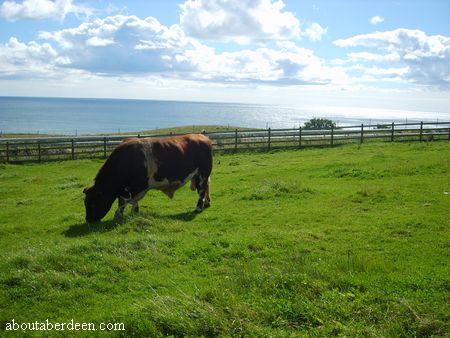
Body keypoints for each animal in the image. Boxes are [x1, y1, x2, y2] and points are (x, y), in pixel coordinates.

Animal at [82, 133, 213, 223]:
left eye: (92, 203)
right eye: (85, 203)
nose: (88, 220)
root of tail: (202, 136)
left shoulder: (138, 185)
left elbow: (124, 201)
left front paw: (118, 215)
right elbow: (129, 200)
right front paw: (134, 213)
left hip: (202, 174)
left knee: (201, 190)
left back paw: (198, 208)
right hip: (200, 175)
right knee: (206, 187)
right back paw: (207, 203)